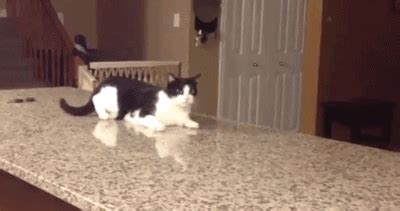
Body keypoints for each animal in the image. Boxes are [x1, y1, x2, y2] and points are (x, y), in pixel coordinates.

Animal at [59, 73, 200, 131]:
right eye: (178, 90)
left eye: (192, 91)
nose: (187, 98)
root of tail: (103, 82)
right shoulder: (143, 113)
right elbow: (157, 122)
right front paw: (159, 126)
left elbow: (186, 121)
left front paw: (192, 123)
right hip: (114, 98)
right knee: (95, 99)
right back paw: (103, 114)